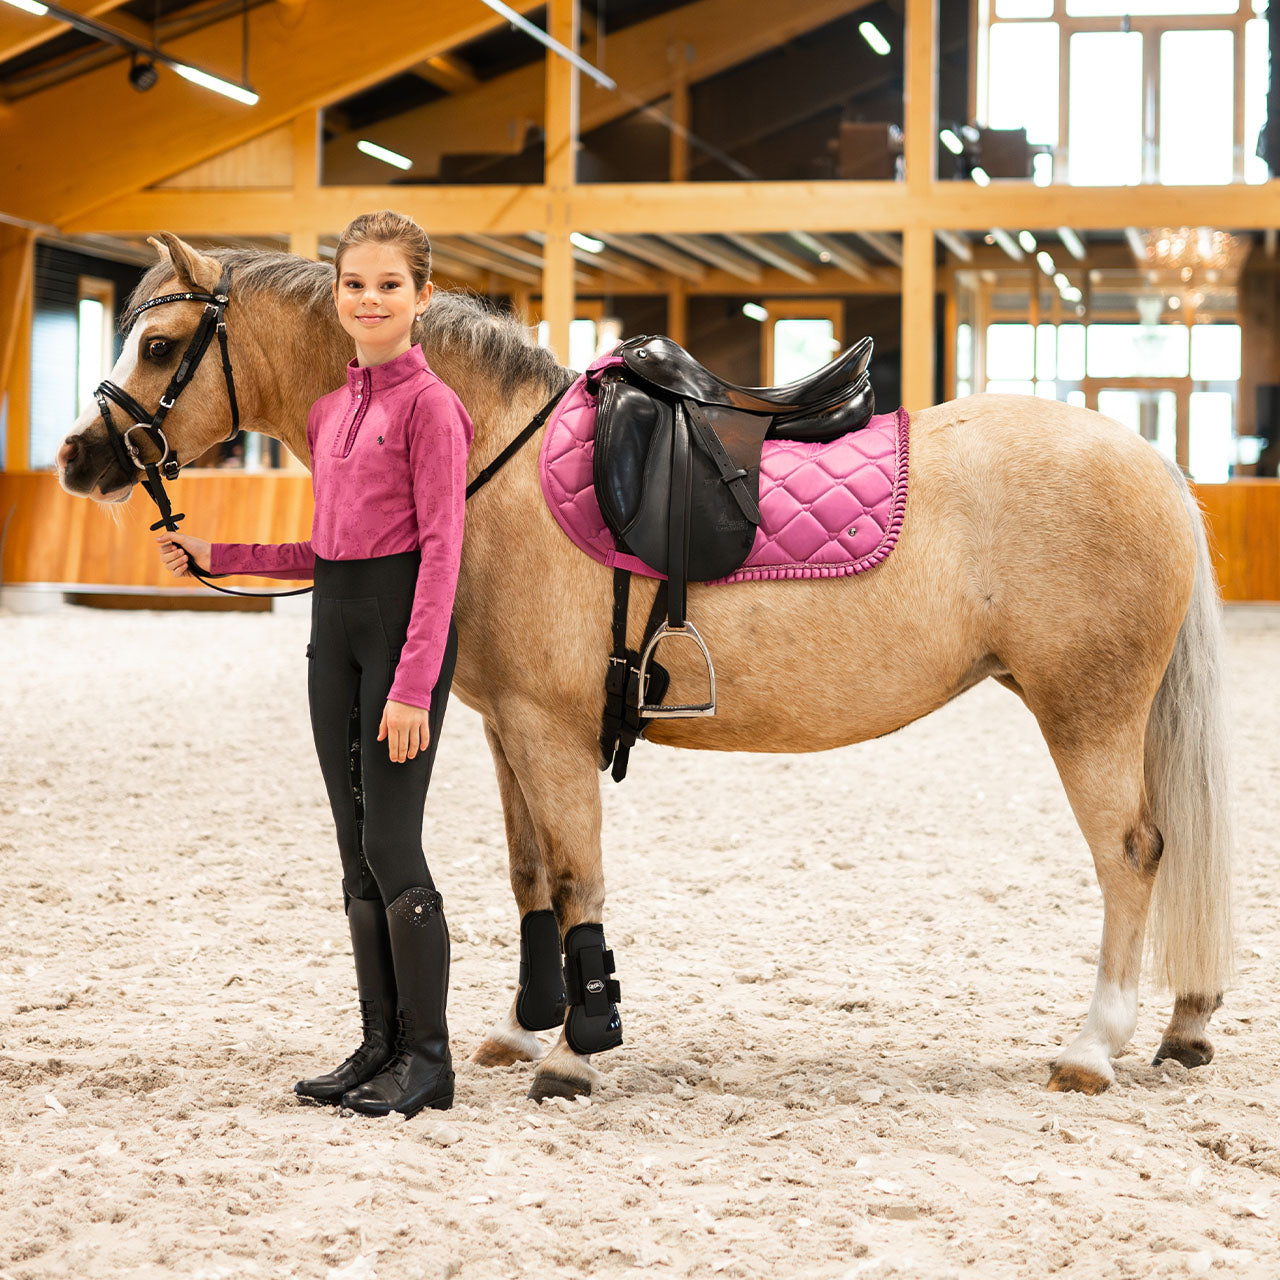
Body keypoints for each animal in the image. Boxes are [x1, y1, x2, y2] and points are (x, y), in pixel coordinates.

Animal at [57, 238, 1228, 1100]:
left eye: (159, 343)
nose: (77, 457)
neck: (494, 461)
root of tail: (1151, 462)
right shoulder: (505, 727)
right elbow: (532, 874)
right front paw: (525, 1028)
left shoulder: (549, 727)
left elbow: (579, 875)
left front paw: (576, 1053)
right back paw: (1183, 1025)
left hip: (1085, 712)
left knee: (1131, 854)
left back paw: (1092, 1044)